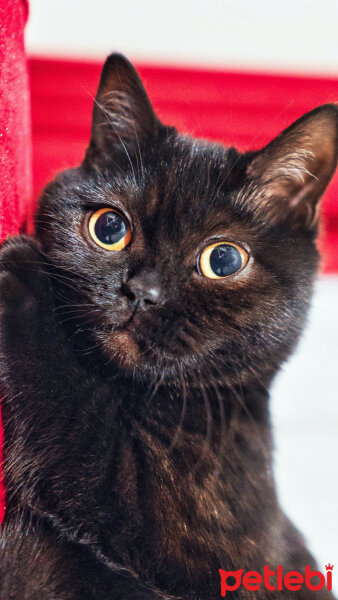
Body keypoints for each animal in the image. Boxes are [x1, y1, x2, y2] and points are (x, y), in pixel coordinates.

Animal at [0, 54, 336, 596]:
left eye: (223, 260)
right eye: (109, 228)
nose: (142, 292)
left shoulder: (181, 522)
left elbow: (78, 421)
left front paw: (25, 274)